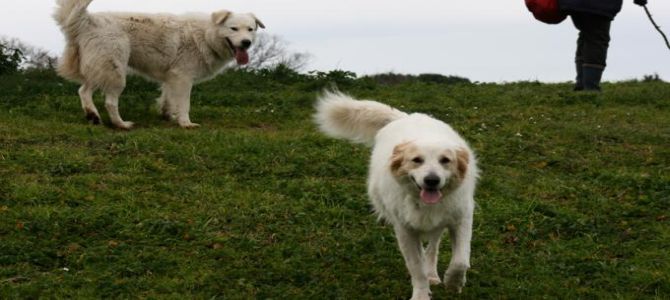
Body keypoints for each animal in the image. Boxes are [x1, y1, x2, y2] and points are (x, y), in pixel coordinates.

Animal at [53, 0, 266, 129]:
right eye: (234, 29)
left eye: (250, 29)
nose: (246, 42)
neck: (206, 35)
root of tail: (89, 20)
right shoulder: (183, 78)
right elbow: (184, 103)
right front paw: (186, 123)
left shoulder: (171, 78)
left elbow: (167, 99)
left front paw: (167, 116)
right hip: (115, 73)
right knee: (109, 102)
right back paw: (121, 124)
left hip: (101, 68)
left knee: (83, 90)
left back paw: (93, 116)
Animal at [316, 92, 480, 300]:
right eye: (417, 160)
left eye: (445, 160)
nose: (432, 180)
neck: (423, 203)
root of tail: (406, 116)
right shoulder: (405, 231)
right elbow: (416, 267)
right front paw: (421, 294)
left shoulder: (462, 218)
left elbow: (460, 260)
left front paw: (453, 282)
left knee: (433, 246)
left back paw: (432, 273)